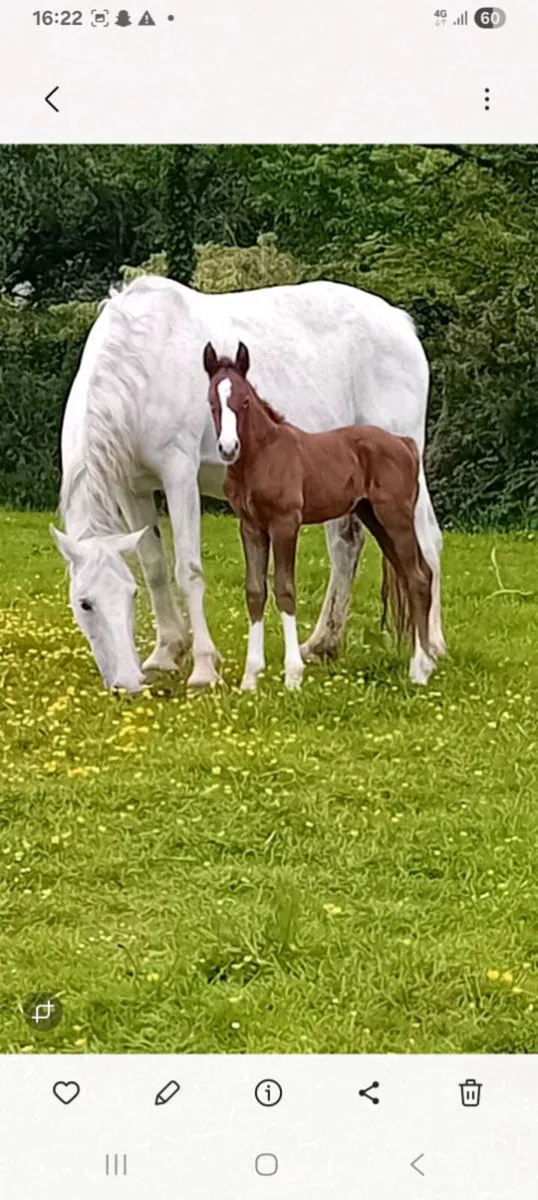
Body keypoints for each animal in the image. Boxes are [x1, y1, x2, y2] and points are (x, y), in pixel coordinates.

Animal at [203, 341, 435, 689]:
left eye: (244, 400)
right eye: (212, 401)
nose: (228, 447)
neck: (263, 455)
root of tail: (405, 443)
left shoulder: (285, 523)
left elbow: (285, 590)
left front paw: (292, 676)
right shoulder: (251, 527)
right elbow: (255, 592)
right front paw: (250, 678)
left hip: (395, 516)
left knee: (419, 578)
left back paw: (419, 670)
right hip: (375, 518)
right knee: (414, 575)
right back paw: (425, 664)